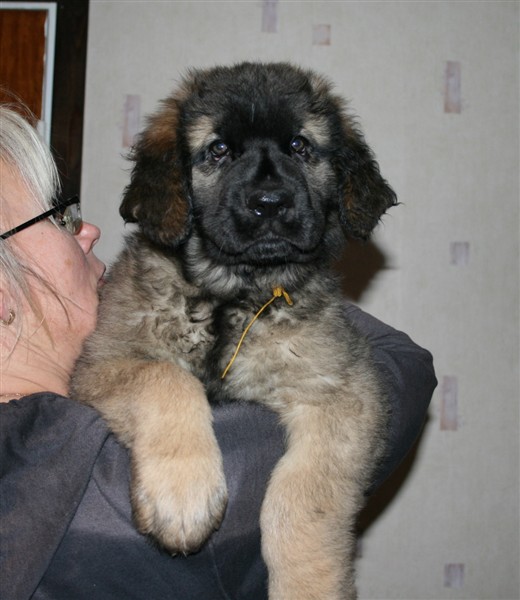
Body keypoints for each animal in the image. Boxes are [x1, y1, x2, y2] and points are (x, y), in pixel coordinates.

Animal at [71, 62, 398, 600]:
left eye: (300, 146)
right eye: (218, 149)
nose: (270, 203)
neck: (232, 294)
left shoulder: (343, 391)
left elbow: (305, 497)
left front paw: (308, 584)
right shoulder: (103, 361)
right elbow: (165, 379)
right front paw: (183, 497)